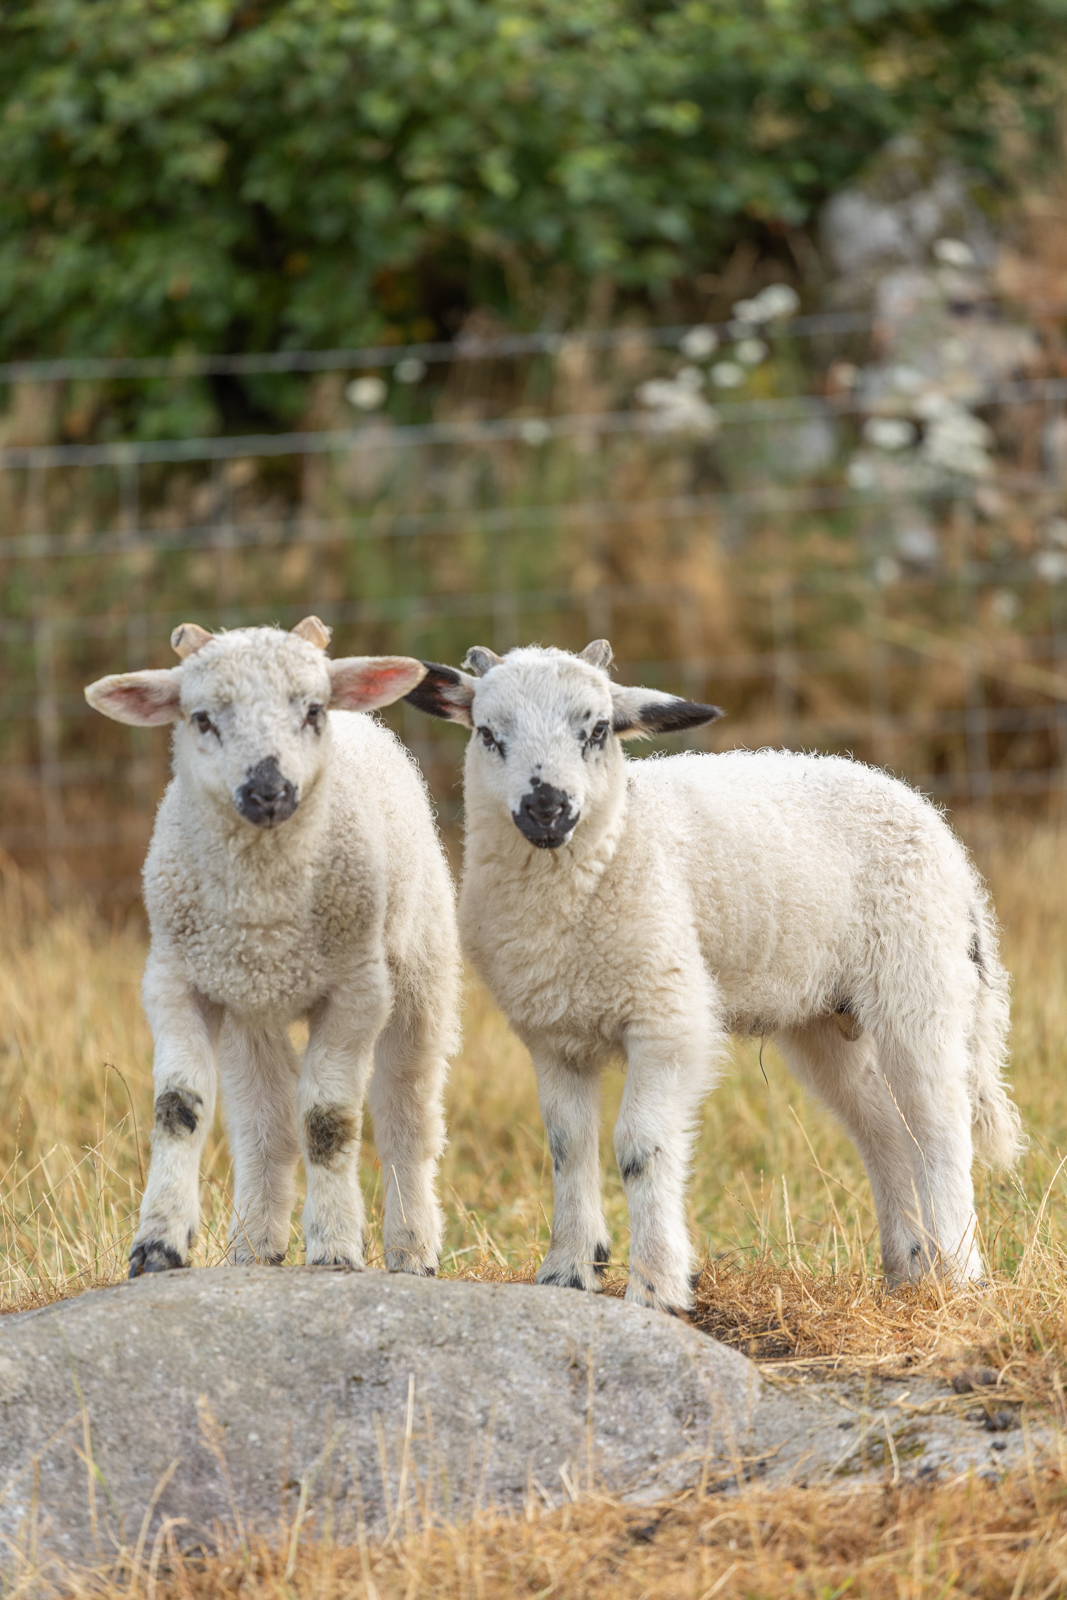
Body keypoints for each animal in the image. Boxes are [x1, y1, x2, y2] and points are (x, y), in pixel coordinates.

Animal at [85, 618, 460, 1278]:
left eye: (312, 711)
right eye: (201, 718)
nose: (268, 790)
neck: (263, 912)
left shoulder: (357, 990)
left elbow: (329, 1120)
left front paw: (335, 1249)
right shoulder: (176, 981)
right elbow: (178, 1108)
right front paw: (157, 1247)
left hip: (420, 973)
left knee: (406, 1117)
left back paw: (412, 1250)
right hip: (248, 1013)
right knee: (265, 1129)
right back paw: (256, 1249)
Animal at [405, 640, 1021, 1316]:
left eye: (597, 730)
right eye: (488, 734)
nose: (548, 808)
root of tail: (940, 831)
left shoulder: (668, 1015)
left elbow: (640, 1146)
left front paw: (657, 1288)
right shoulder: (553, 1033)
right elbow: (567, 1147)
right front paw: (567, 1273)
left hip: (918, 976)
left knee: (940, 1125)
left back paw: (959, 1278)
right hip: (825, 1018)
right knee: (884, 1130)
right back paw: (908, 1270)